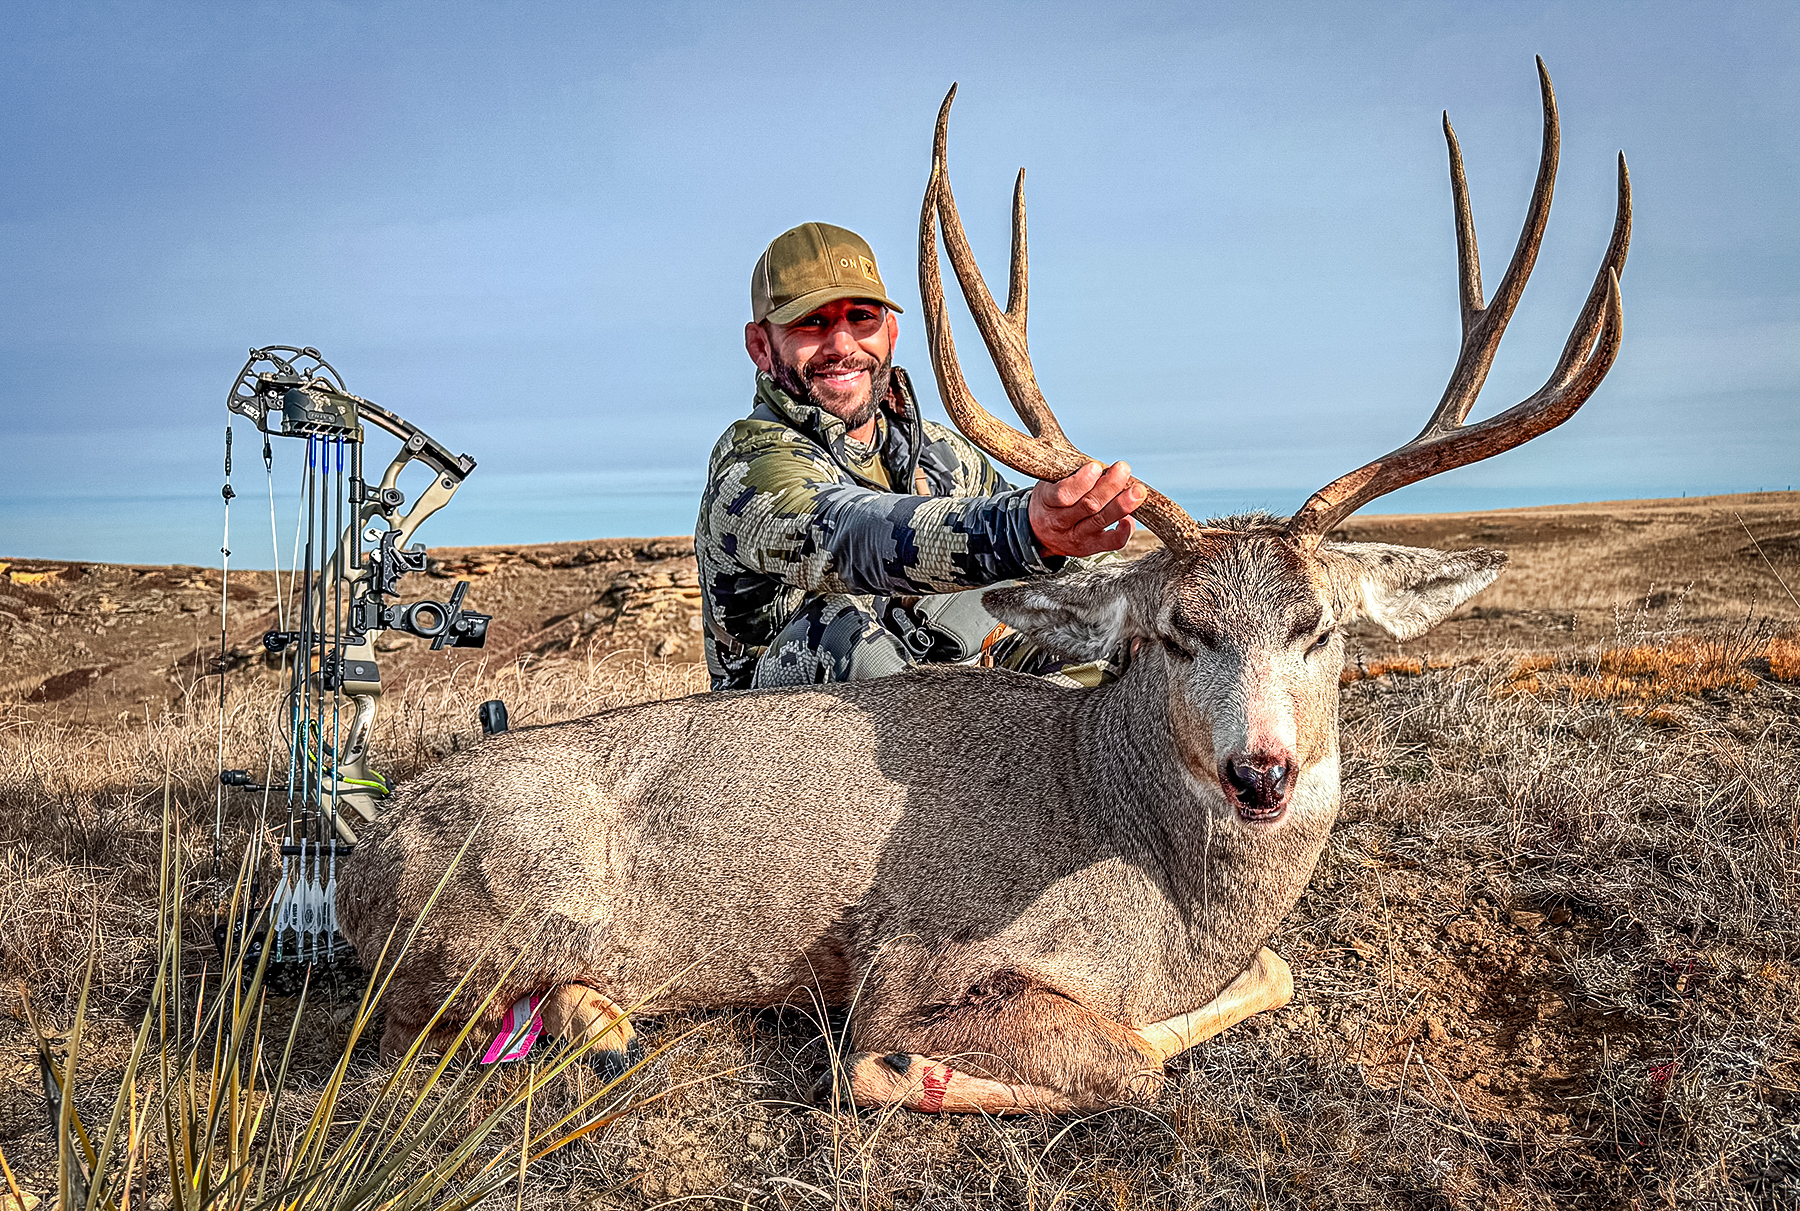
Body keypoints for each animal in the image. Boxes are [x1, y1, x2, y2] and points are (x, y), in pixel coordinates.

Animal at [337, 60, 1629, 1114]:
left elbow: (1270, 970)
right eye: (1173, 630)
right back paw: (601, 1019)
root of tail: (360, 856)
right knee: (435, 1023)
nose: (1260, 772)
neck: (1150, 872)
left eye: (1322, 629)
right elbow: (1120, 1059)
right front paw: (915, 1066)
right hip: (523, 894)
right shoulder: (909, 955)